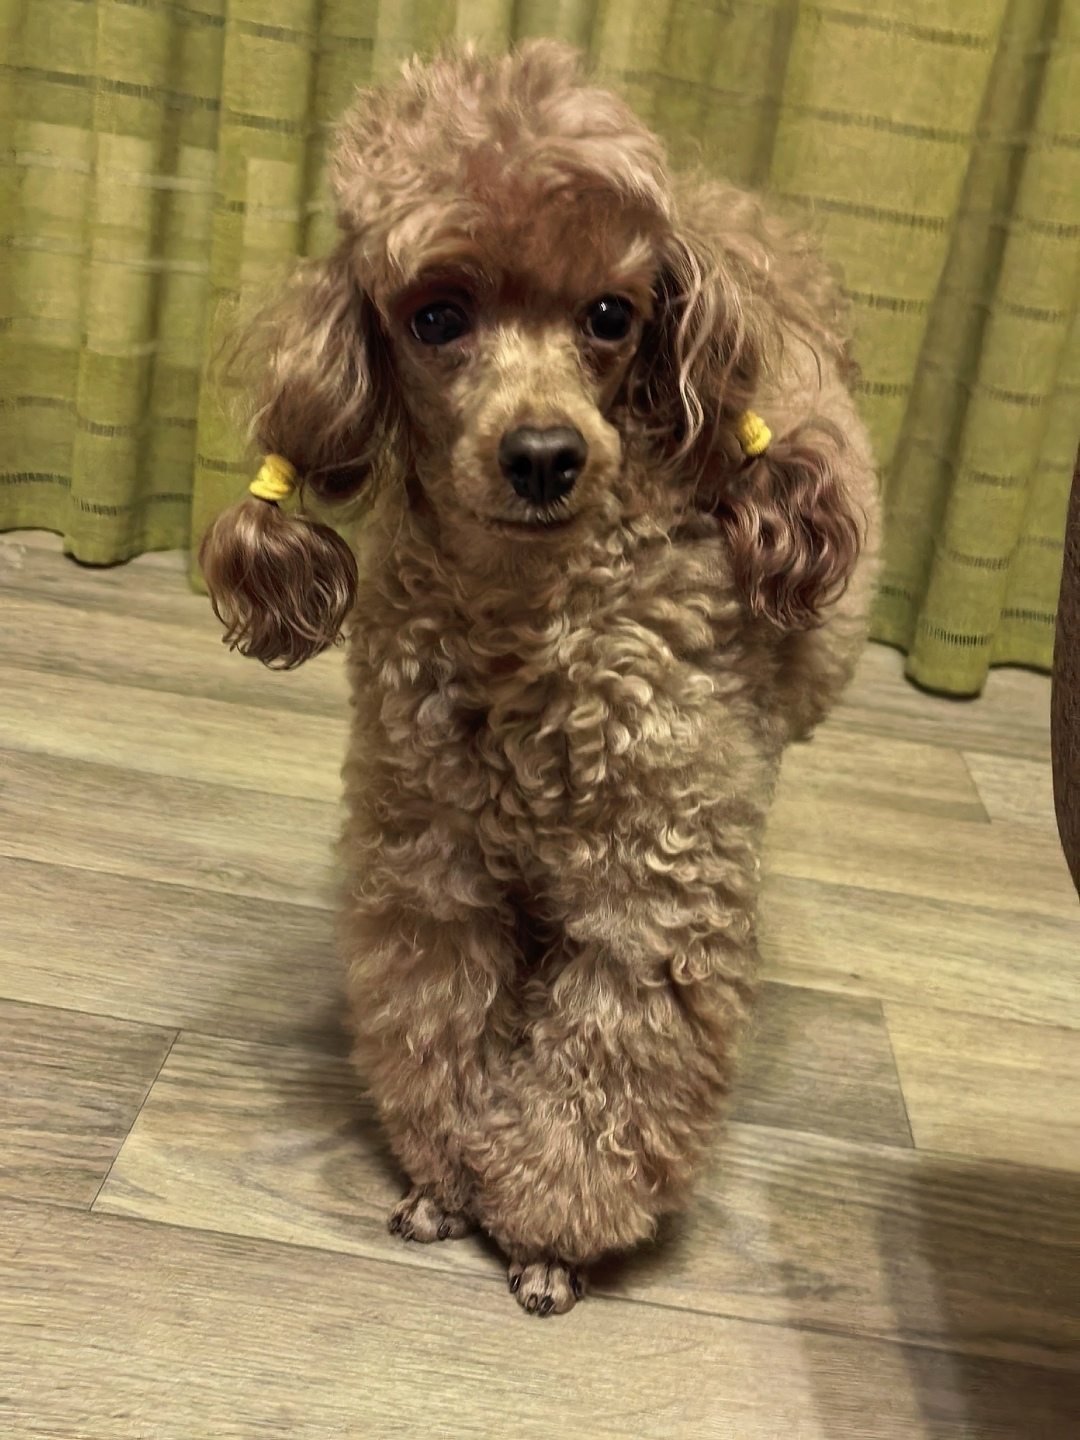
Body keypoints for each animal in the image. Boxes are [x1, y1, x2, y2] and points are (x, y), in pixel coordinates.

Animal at [201, 41, 879, 1316]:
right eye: (437, 316)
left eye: (612, 315)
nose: (545, 456)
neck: (527, 622)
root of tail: (733, 206)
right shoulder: (433, 861)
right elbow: (442, 1022)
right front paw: (446, 1181)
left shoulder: (653, 890)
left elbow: (610, 1068)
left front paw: (551, 1232)